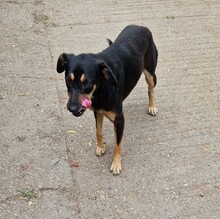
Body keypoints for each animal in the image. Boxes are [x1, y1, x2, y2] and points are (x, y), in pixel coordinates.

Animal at [55, 24, 157, 175]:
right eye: (68, 80)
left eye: (86, 83)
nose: (71, 108)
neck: (101, 90)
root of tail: (141, 26)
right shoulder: (97, 111)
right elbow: (98, 131)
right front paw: (101, 147)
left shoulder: (119, 120)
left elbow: (117, 144)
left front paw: (116, 164)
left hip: (150, 73)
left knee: (151, 90)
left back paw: (152, 107)